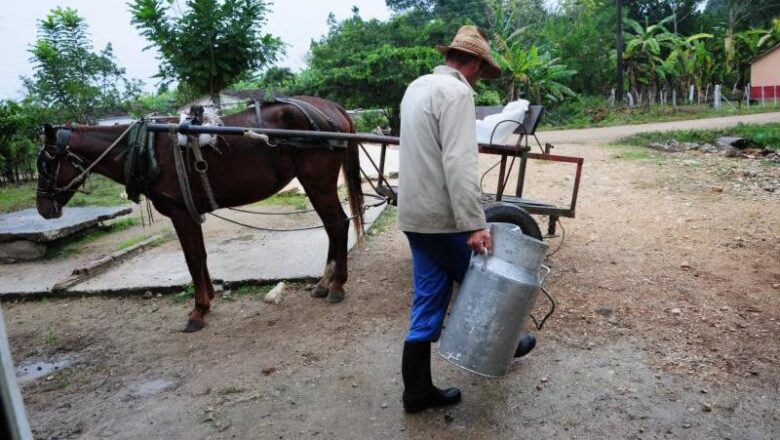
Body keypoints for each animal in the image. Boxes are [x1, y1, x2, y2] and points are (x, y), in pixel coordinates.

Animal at [35, 95, 364, 330]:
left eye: (47, 162)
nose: (42, 208)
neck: (146, 146)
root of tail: (331, 108)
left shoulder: (180, 212)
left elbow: (192, 259)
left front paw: (198, 311)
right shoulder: (191, 212)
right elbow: (201, 256)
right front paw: (208, 301)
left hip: (318, 182)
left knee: (338, 225)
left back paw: (336, 285)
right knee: (333, 227)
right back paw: (324, 283)